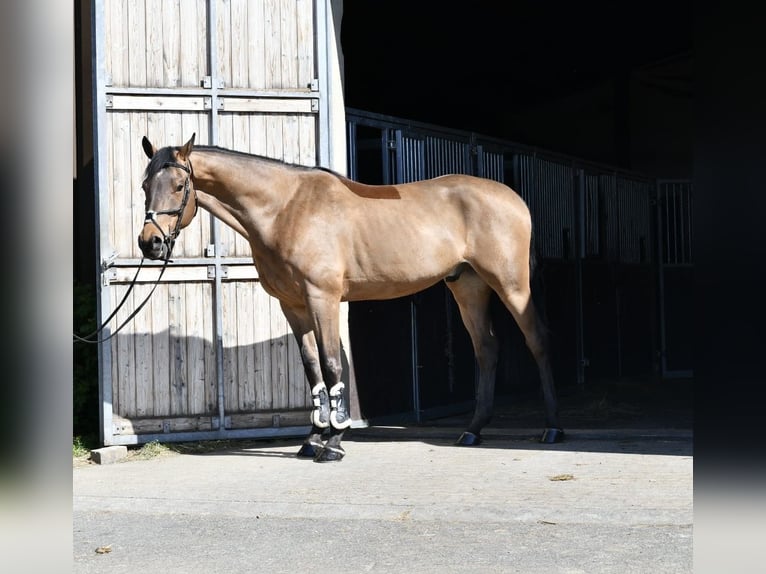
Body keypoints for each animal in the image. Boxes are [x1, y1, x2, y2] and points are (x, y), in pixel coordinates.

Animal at [138, 133, 564, 462]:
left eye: (179, 186)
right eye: (145, 185)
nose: (150, 243)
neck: (286, 208)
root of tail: (513, 198)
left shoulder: (322, 298)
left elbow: (331, 365)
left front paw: (334, 443)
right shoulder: (292, 305)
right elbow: (312, 368)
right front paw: (312, 440)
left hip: (511, 284)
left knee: (539, 340)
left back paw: (553, 428)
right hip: (467, 286)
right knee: (487, 348)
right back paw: (473, 430)